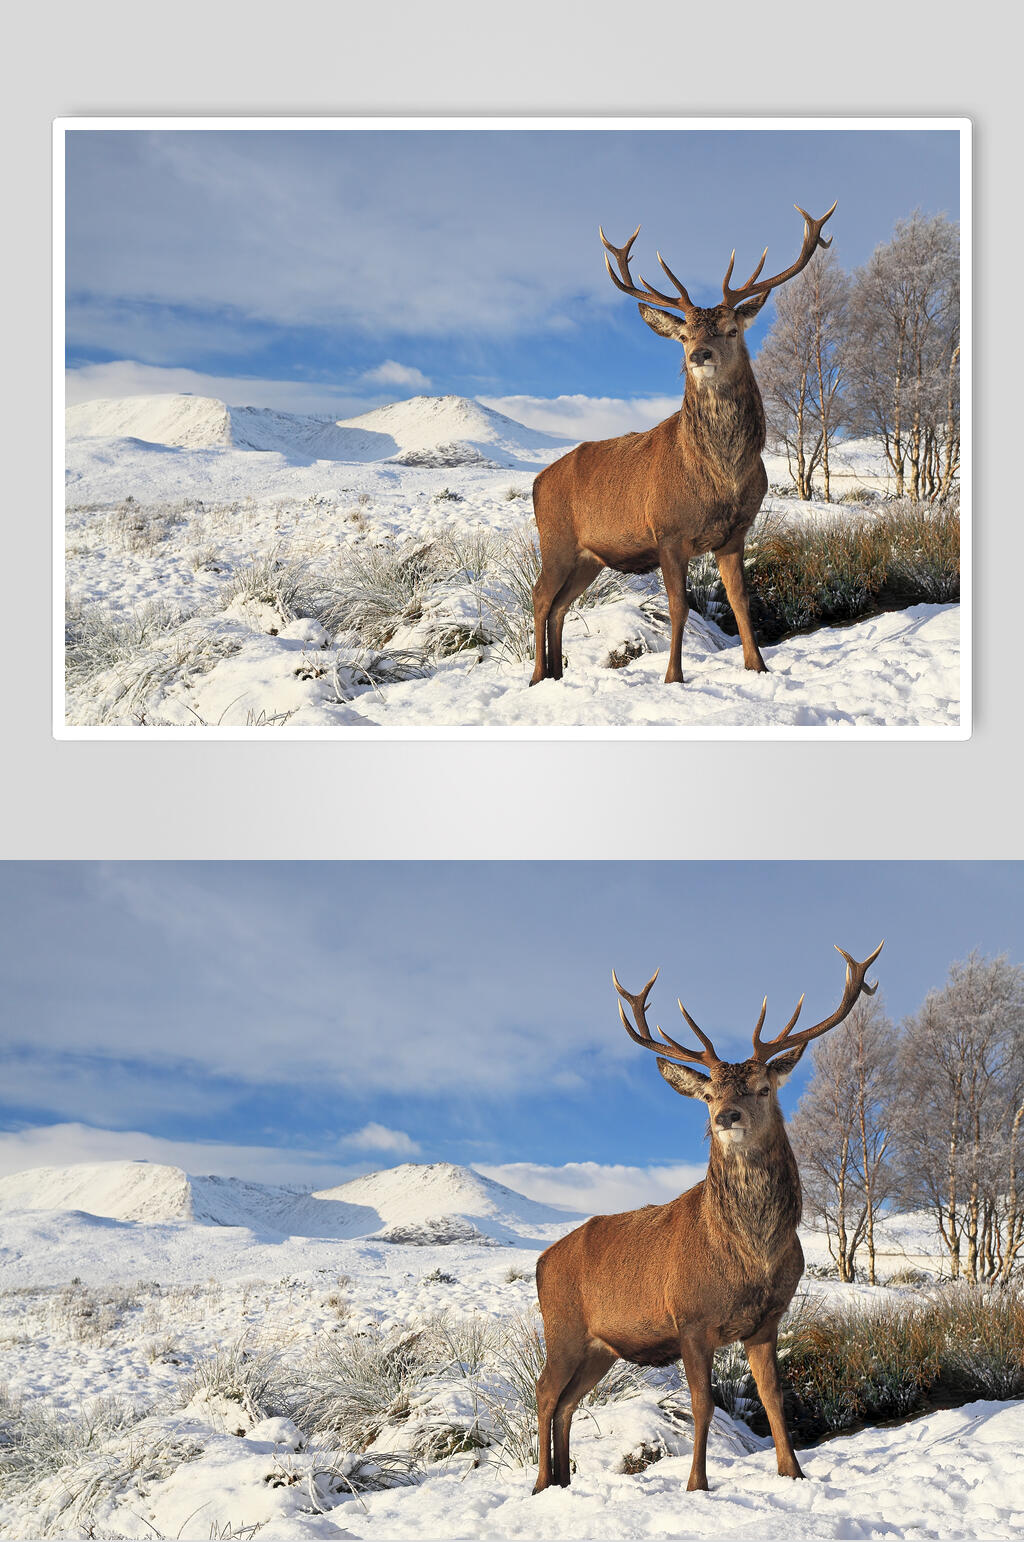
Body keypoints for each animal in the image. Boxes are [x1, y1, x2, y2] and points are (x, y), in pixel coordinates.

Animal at [529, 201, 837, 686]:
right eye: (685, 335)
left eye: (732, 330)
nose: (699, 355)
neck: (721, 478)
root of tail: (537, 482)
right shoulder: (668, 532)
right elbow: (679, 608)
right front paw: (673, 677)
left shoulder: (734, 534)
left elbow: (740, 602)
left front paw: (758, 666)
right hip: (555, 539)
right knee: (540, 597)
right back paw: (537, 675)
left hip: (589, 557)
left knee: (560, 604)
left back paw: (558, 675)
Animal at [532, 940, 883, 1495]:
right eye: (710, 1094)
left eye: (763, 1087)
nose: (725, 1117)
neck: (751, 1256)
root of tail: (541, 1262)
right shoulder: (691, 1320)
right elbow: (703, 1406)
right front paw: (696, 1484)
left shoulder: (766, 1321)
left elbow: (773, 1399)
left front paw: (793, 1472)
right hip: (562, 1326)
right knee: (545, 1392)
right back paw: (542, 1482)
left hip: (600, 1347)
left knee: (568, 1401)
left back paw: (565, 1482)